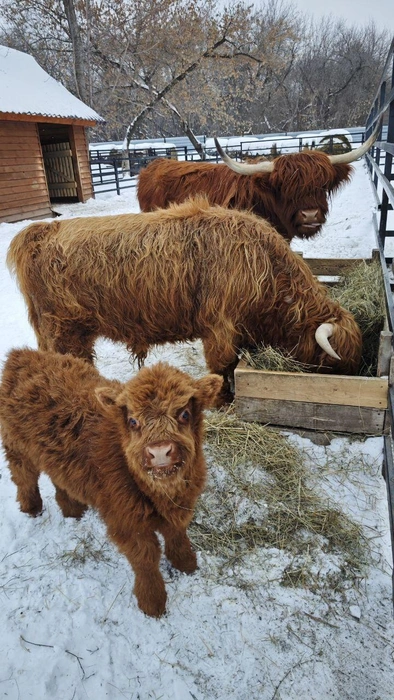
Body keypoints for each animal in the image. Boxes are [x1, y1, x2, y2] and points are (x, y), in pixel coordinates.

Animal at [0, 350, 222, 616]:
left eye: (184, 414)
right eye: (133, 421)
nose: (159, 451)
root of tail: (21, 354)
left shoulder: (181, 506)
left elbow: (177, 534)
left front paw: (187, 564)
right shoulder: (126, 520)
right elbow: (145, 559)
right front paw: (152, 602)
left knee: (58, 478)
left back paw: (72, 509)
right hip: (16, 447)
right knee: (24, 478)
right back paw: (32, 509)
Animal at [6, 200, 364, 402]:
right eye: (332, 361)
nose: (352, 380)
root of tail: (40, 231)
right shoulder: (220, 327)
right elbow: (222, 368)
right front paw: (222, 402)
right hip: (65, 329)